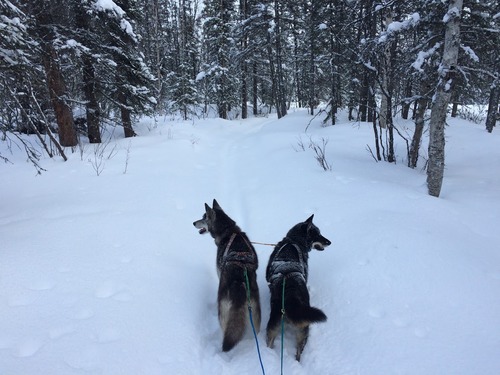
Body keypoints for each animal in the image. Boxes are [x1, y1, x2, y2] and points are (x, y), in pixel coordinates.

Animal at [192, 200, 262, 352]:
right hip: (255, 313)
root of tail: (240, 282)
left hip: (223, 312)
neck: (229, 231)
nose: (193, 223)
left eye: (203, 217)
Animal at [266, 216, 332, 362]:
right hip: (303, 329)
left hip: (274, 327)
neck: (293, 241)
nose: (329, 242)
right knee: (298, 353)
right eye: (317, 234)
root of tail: (290, 296)